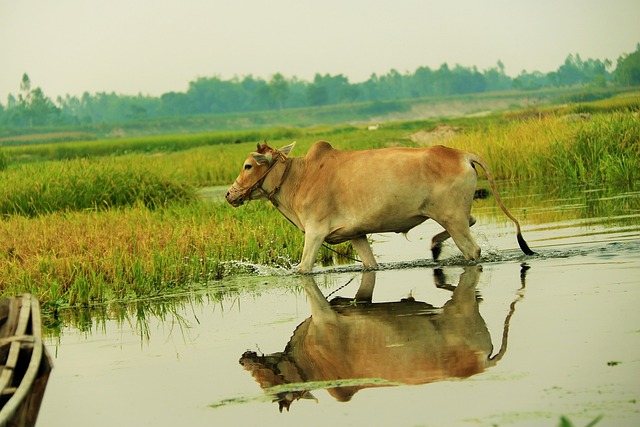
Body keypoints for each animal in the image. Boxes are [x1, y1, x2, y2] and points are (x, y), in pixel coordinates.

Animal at [226, 141, 536, 274]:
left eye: (248, 165)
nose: (230, 194)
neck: (300, 177)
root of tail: (462, 154)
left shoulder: (314, 233)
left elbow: (303, 269)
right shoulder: (355, 234)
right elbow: (370, 264)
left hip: (451, 217)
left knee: (472, 250)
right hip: (453, 215)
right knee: (471, 221)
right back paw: (435, 246)